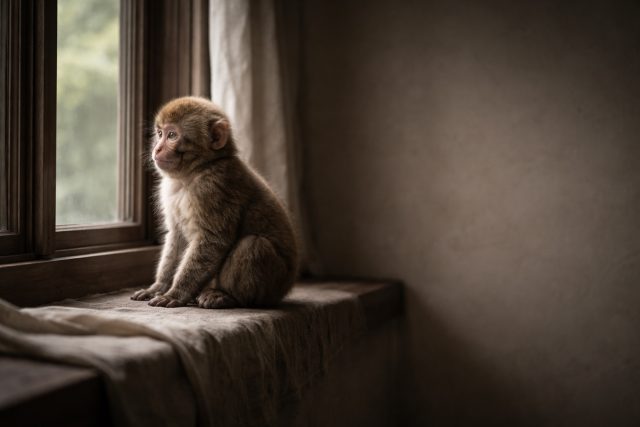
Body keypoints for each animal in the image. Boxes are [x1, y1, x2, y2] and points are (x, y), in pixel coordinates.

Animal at [130, 96, 298, 309]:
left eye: (172, 135)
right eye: (160, 133)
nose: (156, 148)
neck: (194, 173)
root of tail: (285, 289)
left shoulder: (214, 189)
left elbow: (212, 240)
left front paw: (176, 293)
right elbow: (176, 237)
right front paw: (159, 287)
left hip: (274, 285)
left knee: (254, 245)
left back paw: (226, 296)